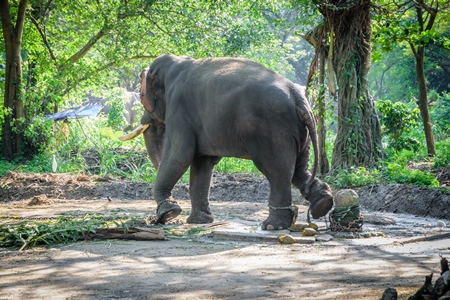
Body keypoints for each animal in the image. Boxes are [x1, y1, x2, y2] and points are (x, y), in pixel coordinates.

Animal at [120, 54, 334, 230]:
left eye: (141, 95)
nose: (159, 218)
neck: (177, 62)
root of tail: (299, 97)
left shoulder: (179, 108)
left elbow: (179, 156)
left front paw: (169, 213)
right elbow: (202, 163)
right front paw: (199, 222)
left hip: (273, 128)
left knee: (277, 171)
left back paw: (272, 226)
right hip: (300, 132)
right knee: (298, 169)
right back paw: (322, 204)